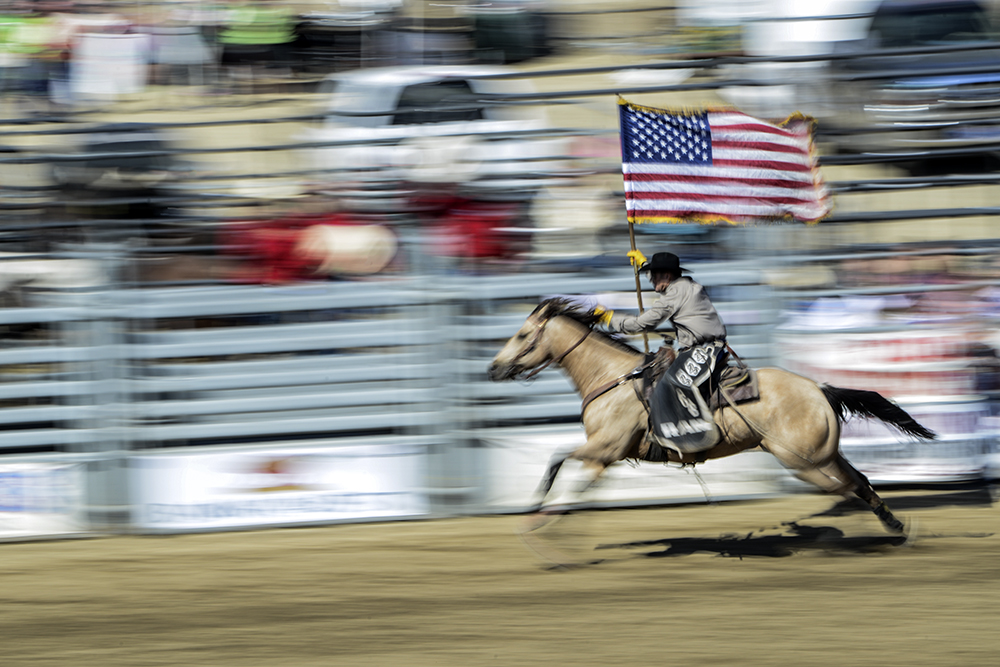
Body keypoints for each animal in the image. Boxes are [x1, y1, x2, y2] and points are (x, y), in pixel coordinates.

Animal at [488, 298, 932, 536]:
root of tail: (820, 389)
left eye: (523, 336)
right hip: (822, 455)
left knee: (848, 488)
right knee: (860, 482)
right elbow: (566, 472)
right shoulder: (606, 457)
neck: (611, 377)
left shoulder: (603, 449)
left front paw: (536, 519)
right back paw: (894, 528)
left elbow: (559, 463)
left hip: (806, 464)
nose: (494, 369)